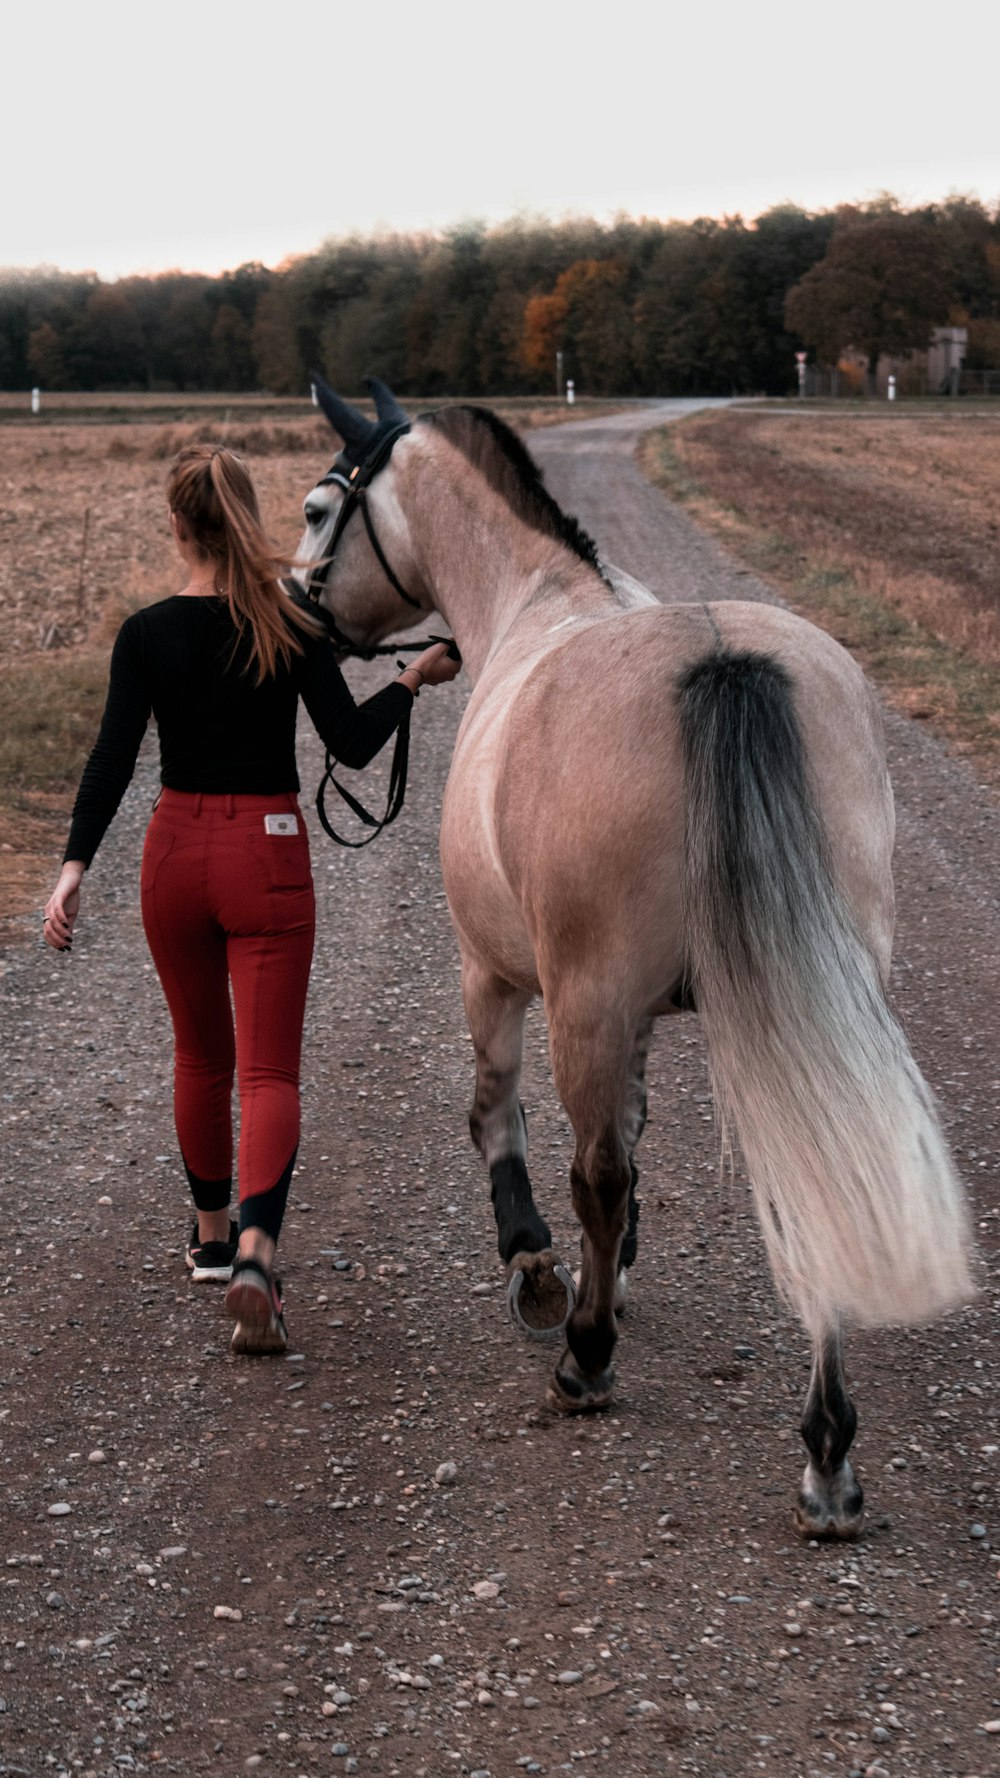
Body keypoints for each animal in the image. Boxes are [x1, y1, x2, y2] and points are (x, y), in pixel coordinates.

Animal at [293, 375, 967, 1543]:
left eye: (321, 508)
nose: (298, 613)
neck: (534, 601)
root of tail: (721, 662)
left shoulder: (500, 977)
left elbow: (502, 1119)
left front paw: (541, 1271)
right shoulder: (646, 1017)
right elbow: (642, 1133)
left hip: (587, 1002)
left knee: (594, 1173)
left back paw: (589, 1361)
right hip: (813, 998)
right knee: (822, 1161)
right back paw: (829, 1452)